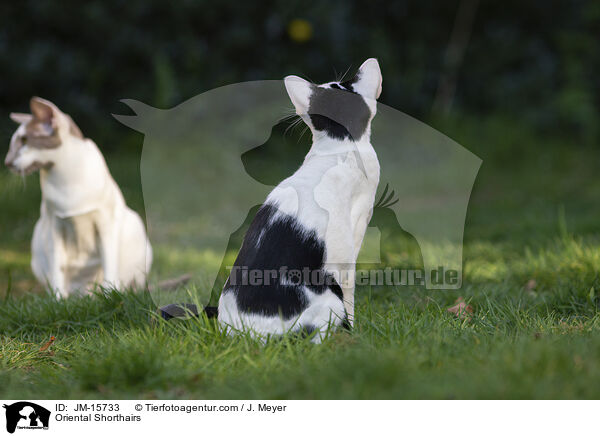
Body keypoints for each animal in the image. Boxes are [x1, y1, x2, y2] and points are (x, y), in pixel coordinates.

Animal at [162, 58, 382, 344]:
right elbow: (351, 300)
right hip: (328, 299)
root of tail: (248, 338)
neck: (337, 148)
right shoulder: (347, 249)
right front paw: (356, 332)